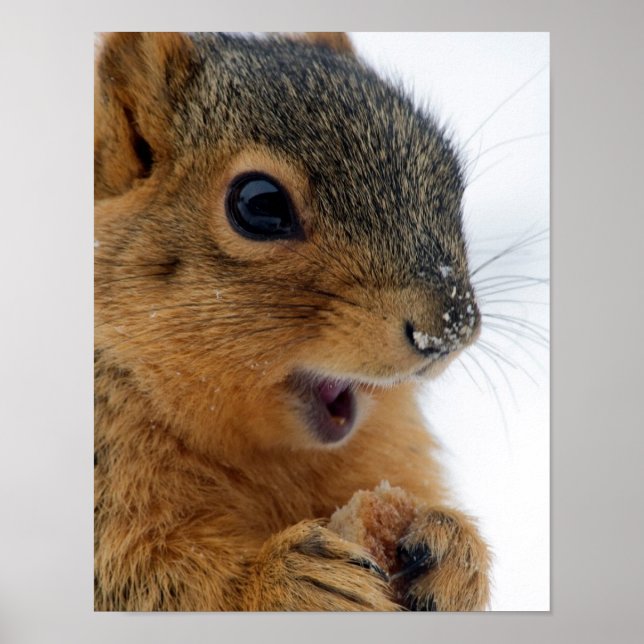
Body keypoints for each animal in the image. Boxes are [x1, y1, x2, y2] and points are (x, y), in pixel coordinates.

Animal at [94, 31, 491, 611]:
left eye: (450, 174)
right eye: (259, 204)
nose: (450, 328)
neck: (274, 457)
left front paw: (456, 552)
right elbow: (138, 578)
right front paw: (289, 579)